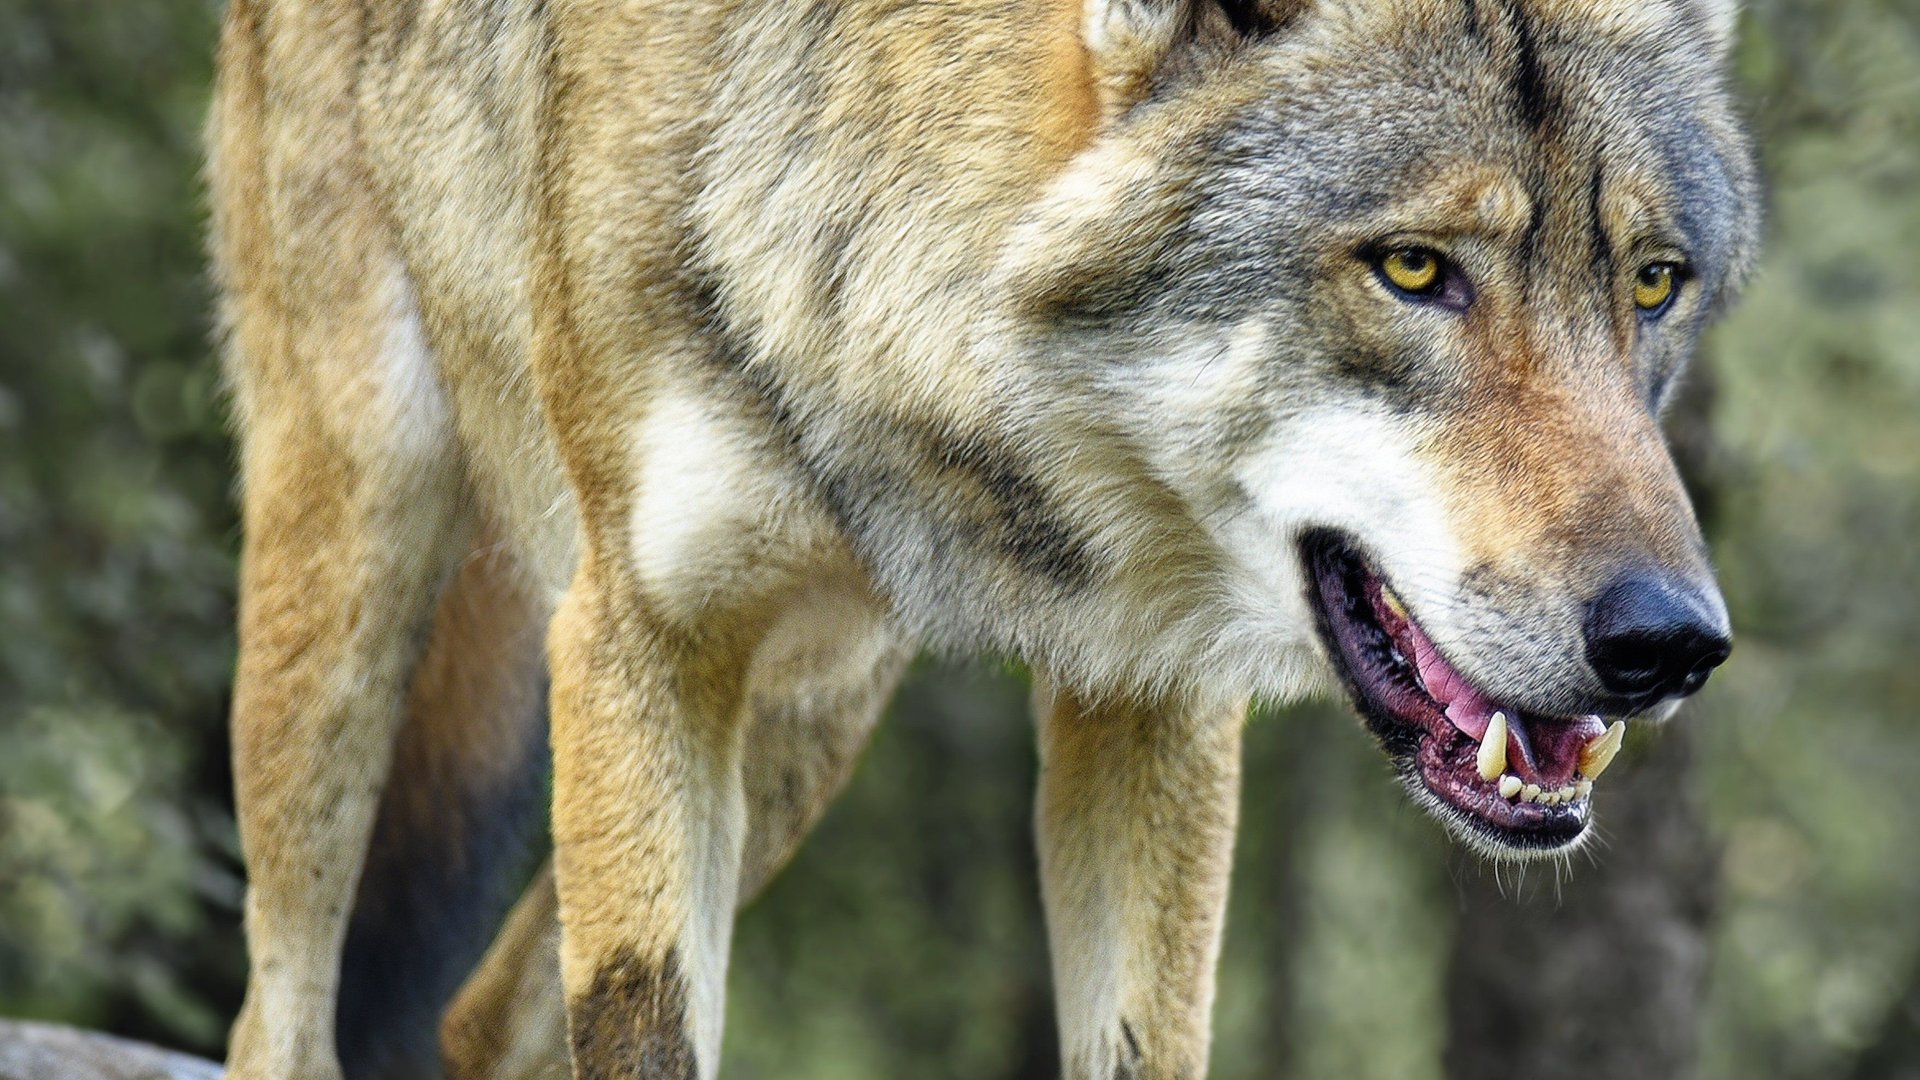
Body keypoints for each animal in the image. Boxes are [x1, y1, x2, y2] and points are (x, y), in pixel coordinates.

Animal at [206, 0, 1759, 1076]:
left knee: (479, 1022)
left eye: (1653, 283)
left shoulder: (1154, 698)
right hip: (353, 562)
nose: (1670, 644)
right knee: (274, 1018)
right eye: (1417, 269)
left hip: (803, 724)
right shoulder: (635, 634)